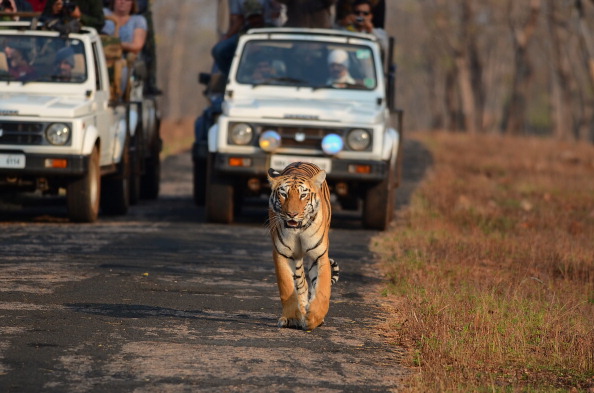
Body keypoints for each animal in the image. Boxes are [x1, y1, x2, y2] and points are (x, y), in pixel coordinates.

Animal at [264, 161, 338, 330]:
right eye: (283, 194)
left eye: (303, 195)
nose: (292, 214)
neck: (298, 229)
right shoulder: (282, 254)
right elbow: (287, 287)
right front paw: (292, 317)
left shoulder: (319, 255)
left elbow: (322, 289)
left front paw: (314, 317)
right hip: (296, 259)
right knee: (301, 284)